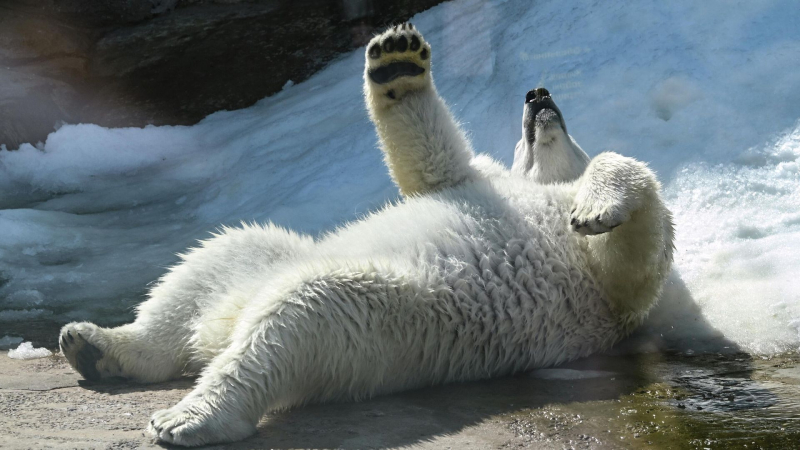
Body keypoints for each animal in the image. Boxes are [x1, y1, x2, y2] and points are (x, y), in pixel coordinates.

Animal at [58, 24, 674, 446]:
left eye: (569, 129)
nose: (539, 95)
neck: (541, 184)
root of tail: (221, 328)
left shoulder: (607, 287)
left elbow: (635, 246)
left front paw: (595, 207)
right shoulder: (481, 179)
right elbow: (434, 165)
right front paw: (397, 61)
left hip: (393, 323)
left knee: (300, 315)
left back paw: (190, 415)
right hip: (261, 270)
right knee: (220, 255)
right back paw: (97, 344)